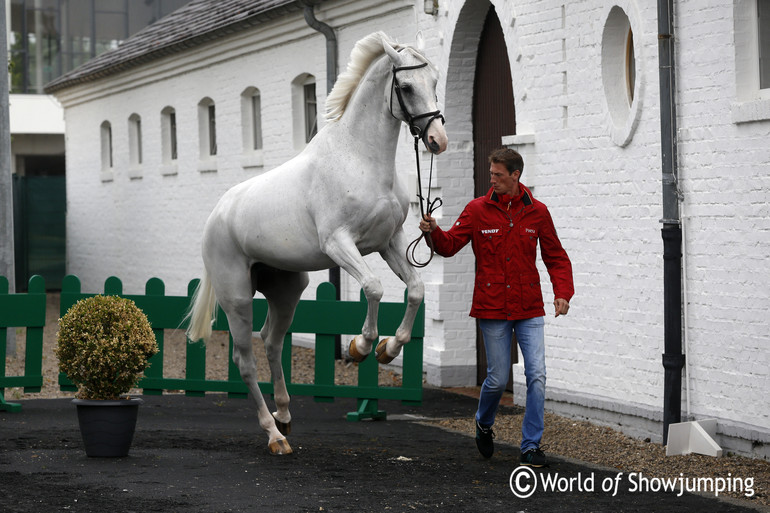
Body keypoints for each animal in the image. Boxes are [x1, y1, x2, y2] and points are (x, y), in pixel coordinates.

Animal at [186, 34, 448, 454]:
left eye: (435, 81)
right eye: (406, 87)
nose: (437, 140)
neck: (359, 159)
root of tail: (217, 215)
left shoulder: (389, 242)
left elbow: (417, 290)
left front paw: (389, 349)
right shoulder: (340, 244)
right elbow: (374, 288)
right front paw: (360, 347)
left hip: (288, 290)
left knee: (272, 342)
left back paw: (285, 415)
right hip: (237, 298)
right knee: (246, 361)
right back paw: (274, 435)